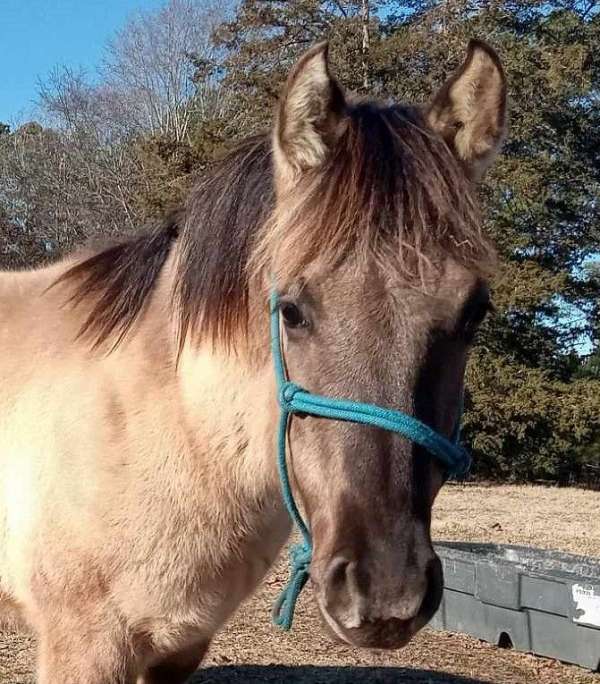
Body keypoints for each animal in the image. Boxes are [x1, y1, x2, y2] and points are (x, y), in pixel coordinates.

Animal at [0, 40, 506, 680]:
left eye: (474, 312)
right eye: (289, 310)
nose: (386, 591)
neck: (171, 423)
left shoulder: (182, 645)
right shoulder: (84, 645)